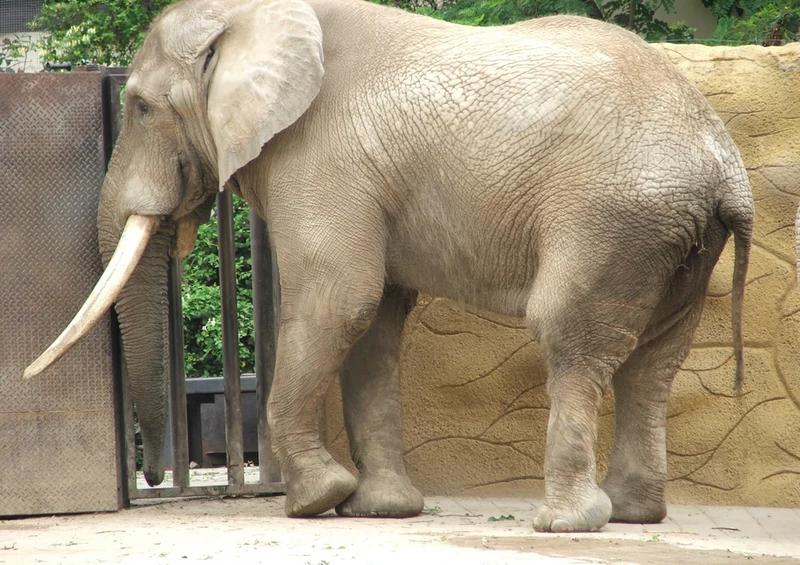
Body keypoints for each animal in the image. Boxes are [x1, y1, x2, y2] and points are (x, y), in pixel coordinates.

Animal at [25, 0, 753, 533]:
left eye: (142, 108)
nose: (149, 476)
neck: (247, 15)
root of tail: (721, 157)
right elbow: (373, 321)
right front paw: (380, 510)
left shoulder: (320, 158)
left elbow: (338, 298)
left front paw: (316, 502)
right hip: (673, 237)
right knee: (654, 359)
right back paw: (633, 514)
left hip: (610, 216)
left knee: (570, 335)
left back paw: (564, 524)